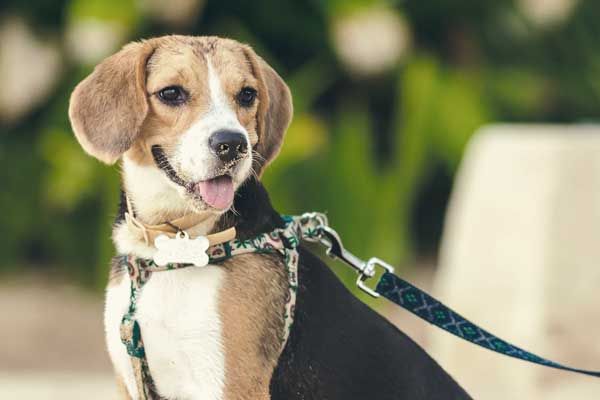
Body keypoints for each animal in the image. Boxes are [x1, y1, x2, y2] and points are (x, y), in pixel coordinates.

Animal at [69, 35, 471, 400]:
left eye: (247, 95)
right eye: (171, 93)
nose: (232, 144)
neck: (170, 252)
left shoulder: (233, 387)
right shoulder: (130, 382)